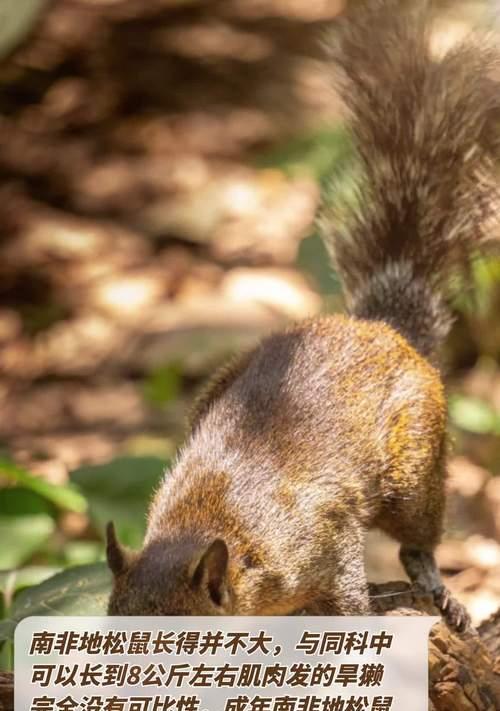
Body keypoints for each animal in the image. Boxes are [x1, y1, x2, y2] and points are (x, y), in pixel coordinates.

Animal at [105, 1, 500, 636]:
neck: (212, 528)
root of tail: (382, 330)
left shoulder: (323, 536)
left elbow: (345, 592)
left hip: (415, 462)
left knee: (418, 536)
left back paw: (438, 588)